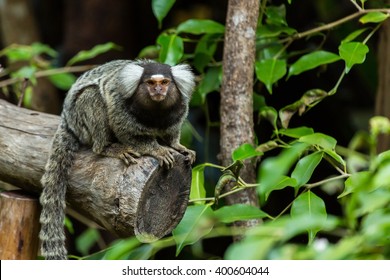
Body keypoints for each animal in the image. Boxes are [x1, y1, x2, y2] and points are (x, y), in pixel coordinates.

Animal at [40, 59, 195, 260]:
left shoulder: (179, 110)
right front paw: (158, 149)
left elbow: (172, 134)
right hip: (80, 118)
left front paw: (178, 146)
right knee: (92, 97)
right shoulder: (120, 104)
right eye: (151, 83)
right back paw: (108, 147)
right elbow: (124, 130)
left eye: (165, 82)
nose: (158, 90)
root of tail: (67, 120)